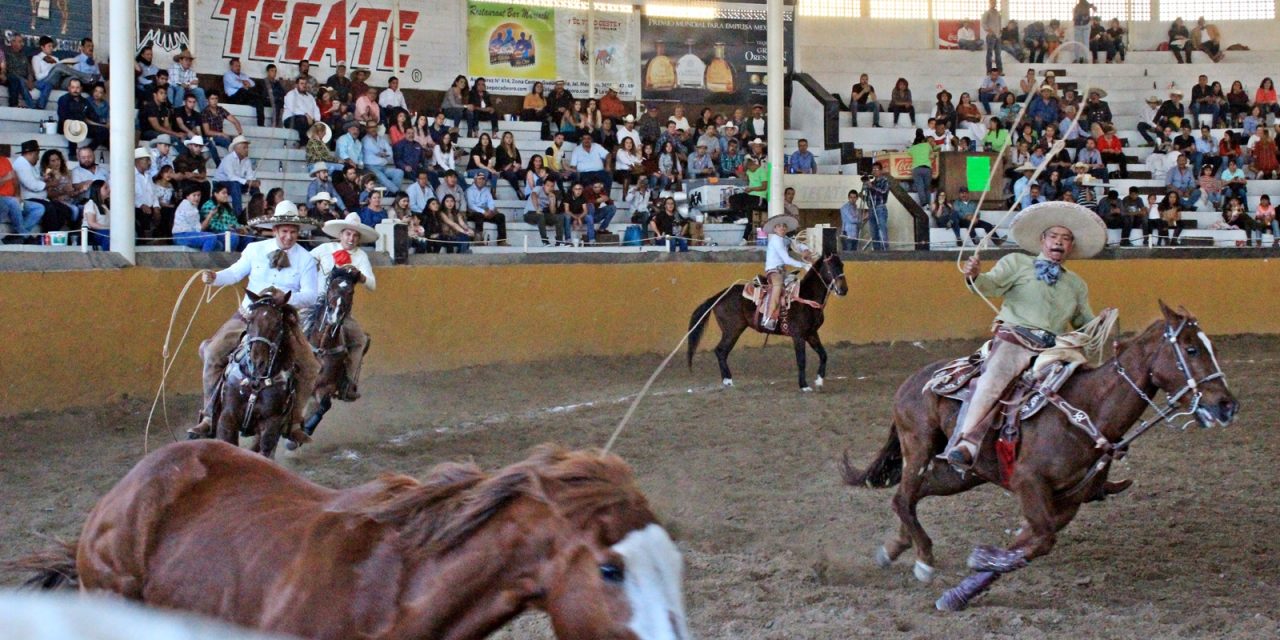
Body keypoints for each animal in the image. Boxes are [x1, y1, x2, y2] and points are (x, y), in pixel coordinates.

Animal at [691, 254, 849, 389]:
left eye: (841, 265)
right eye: (830, 267)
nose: (843, 290)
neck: (806, 297)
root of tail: (720, 295)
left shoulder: (811, 333)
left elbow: (823, 355)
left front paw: (819, 380)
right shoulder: (798, 336)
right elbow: (801, 360)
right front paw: (804, 385)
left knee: (722, 352)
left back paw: (727, 380)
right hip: (732, 330)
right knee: (720, 351)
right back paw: (727, 380)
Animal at [844, 302, 1233, 611]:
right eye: (1191, 349)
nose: (1227, 405)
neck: (1086, 411)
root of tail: (915, 379)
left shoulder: (1066, 502)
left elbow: (1027, 546)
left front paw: (961, 591)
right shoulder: (1029, 482)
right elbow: (1040, 541)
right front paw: (979, 558)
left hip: (962, 474)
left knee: (914, 494)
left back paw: (894, 547)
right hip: (919, 444)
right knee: (903, 497)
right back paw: (923, 557)